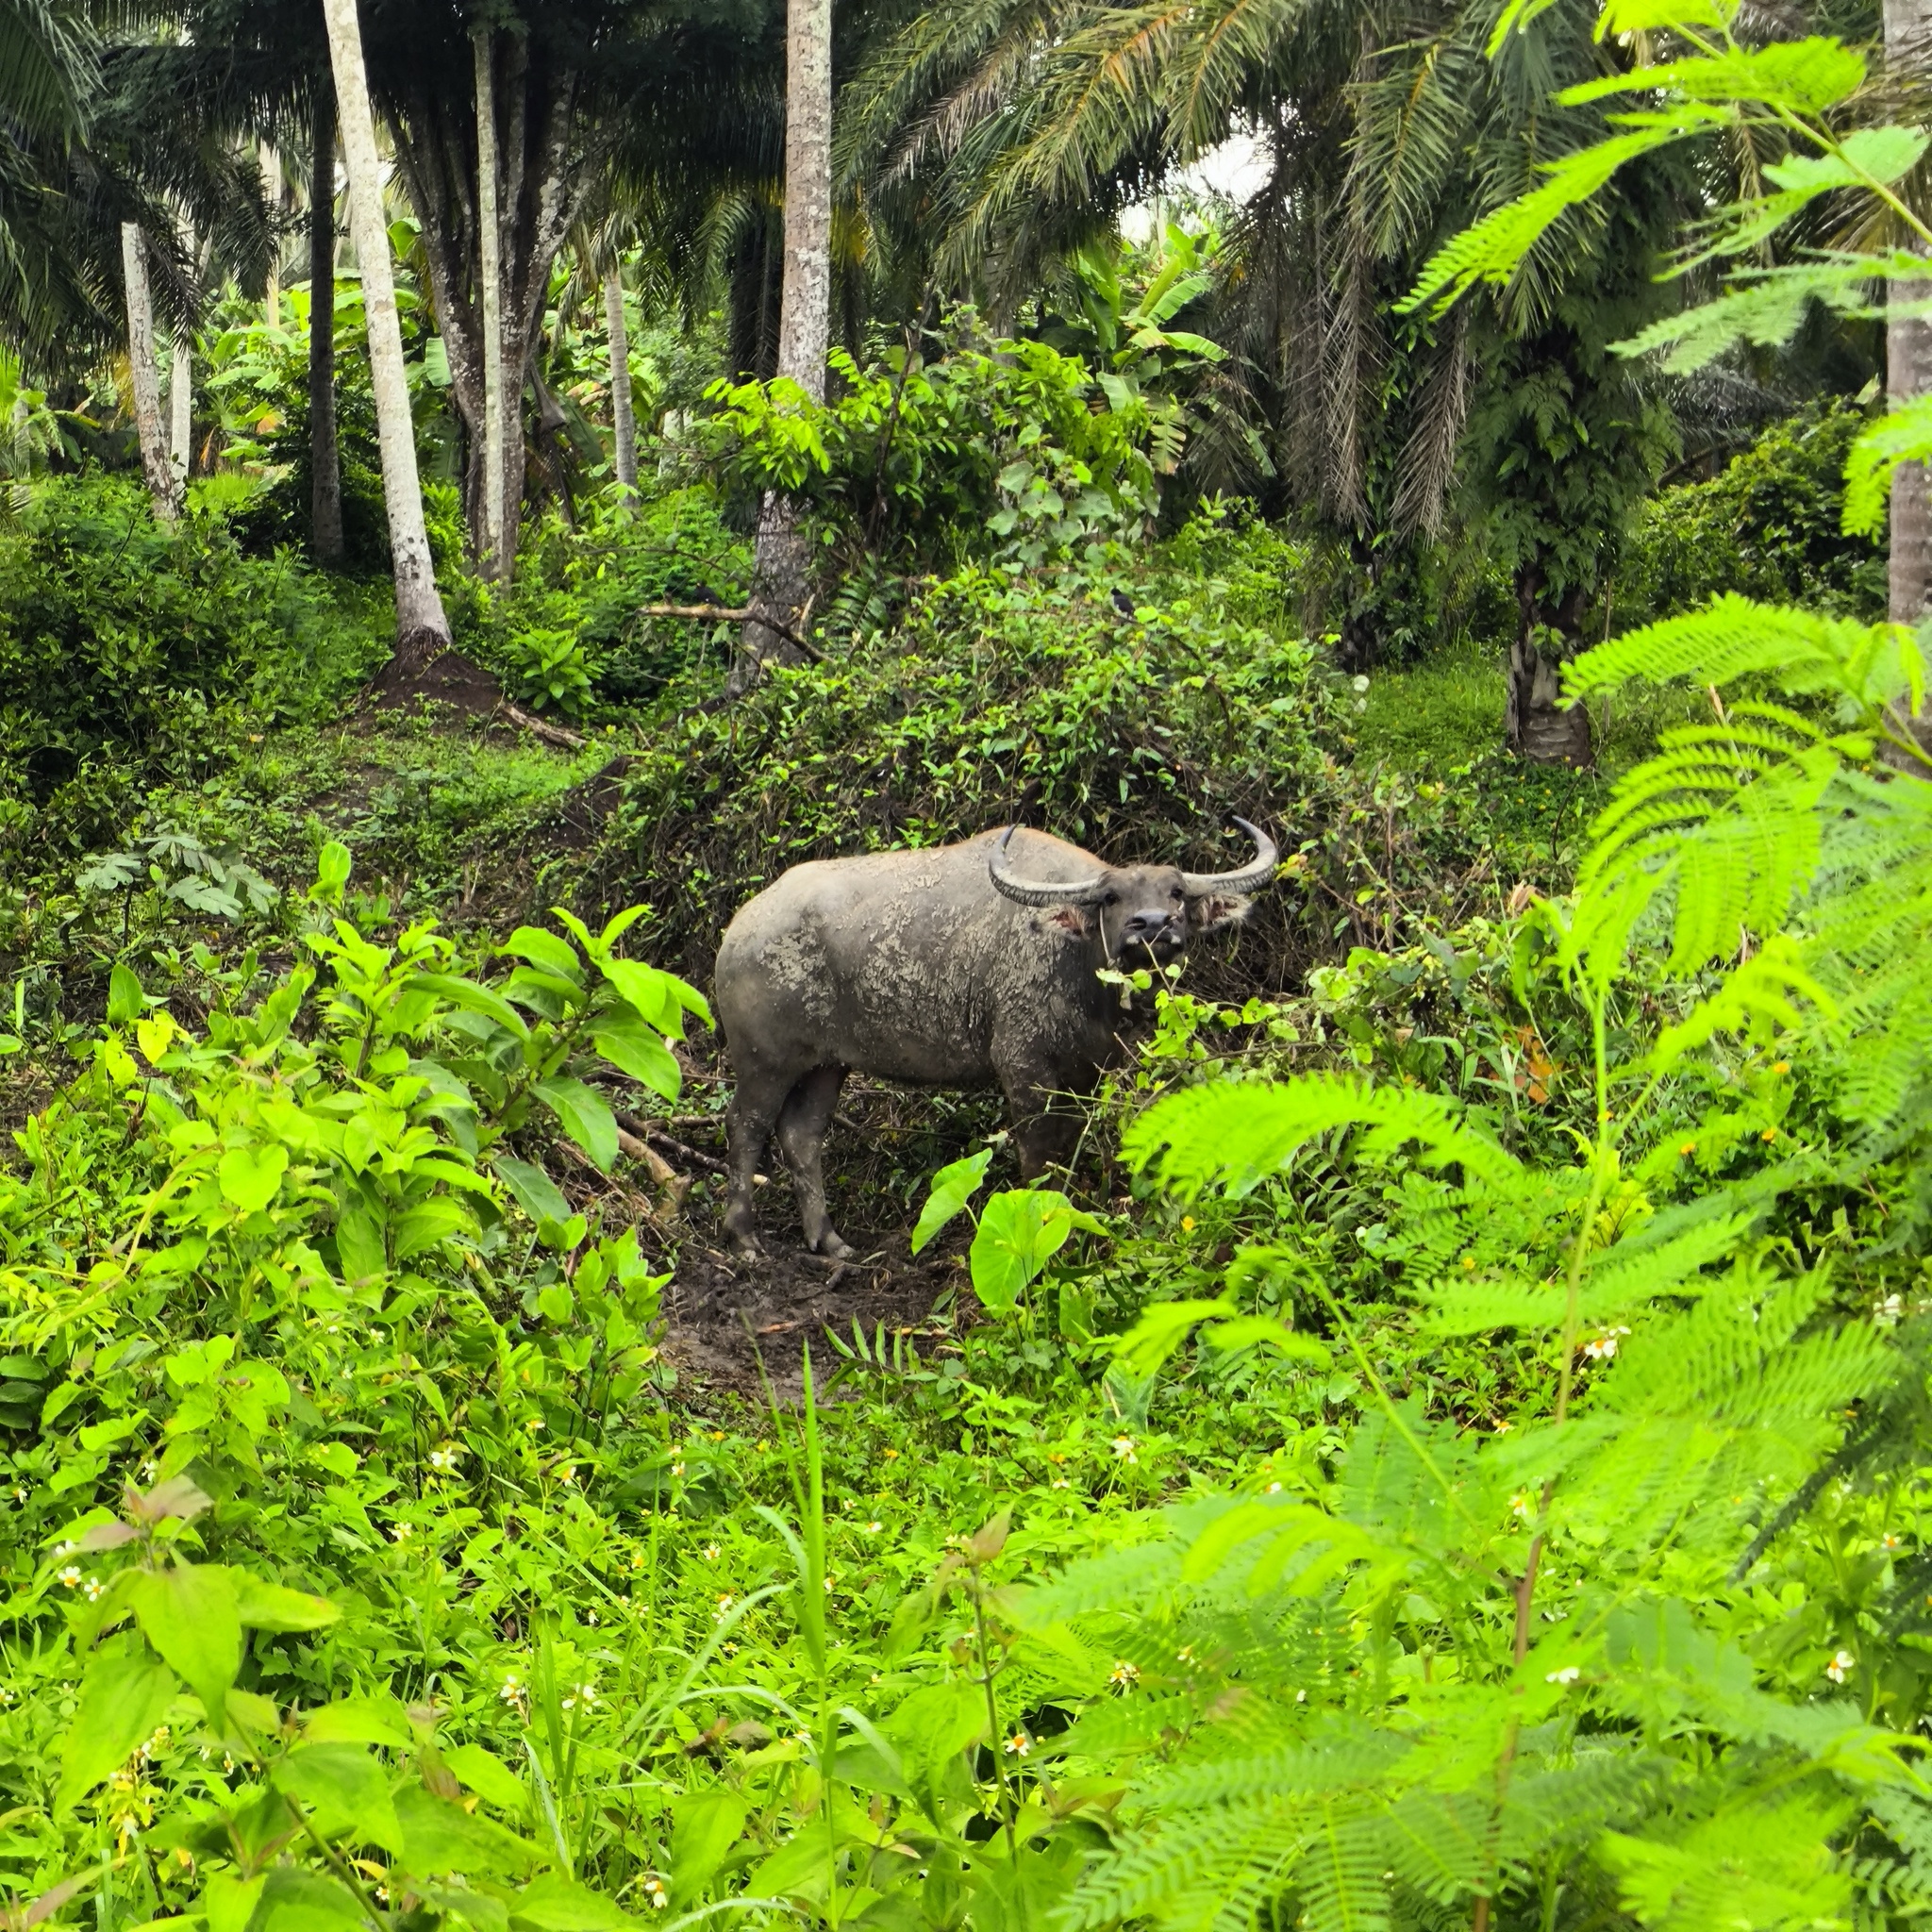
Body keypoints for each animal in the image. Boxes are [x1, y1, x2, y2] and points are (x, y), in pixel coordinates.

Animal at [718, 819, 1274, 1259]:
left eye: (1175, 892)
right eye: (1111, 897)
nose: (1153, 925)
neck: (1079, 967)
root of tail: (739, 929)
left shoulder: (1087, 1074)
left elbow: (1067, 1147)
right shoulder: (1023, 1067)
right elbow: (1037, 1154)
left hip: (825, 1065)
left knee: (801, 1136)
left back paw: (828, 1240)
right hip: (764, 1062)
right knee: (746, 1129)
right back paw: (744, 1238)